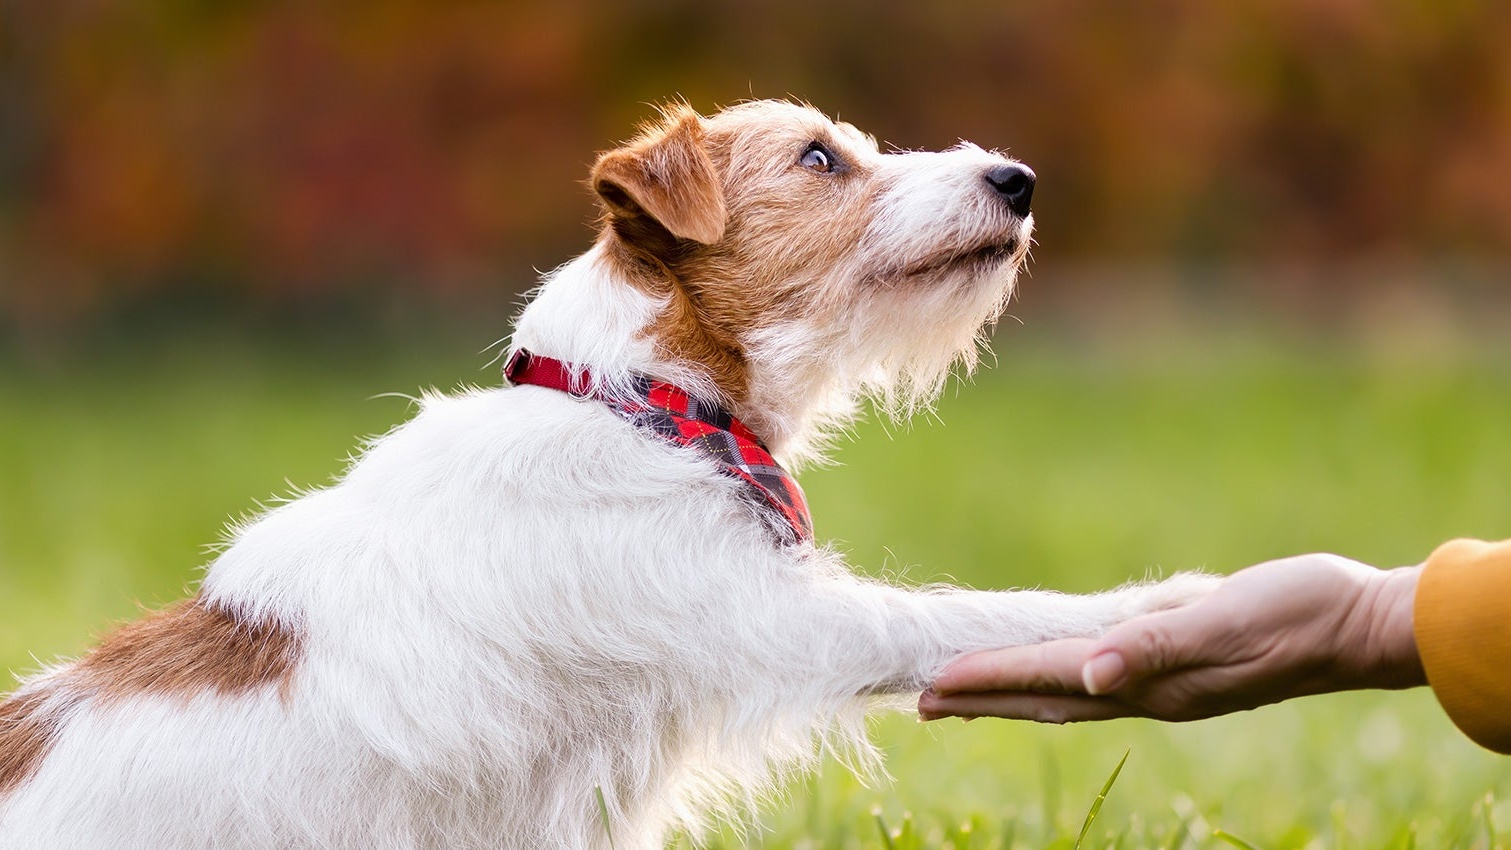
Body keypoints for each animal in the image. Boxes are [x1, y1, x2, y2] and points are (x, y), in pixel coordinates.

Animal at [0, 101, 1208, 850]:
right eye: (819, 158)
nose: (1017, 179)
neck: (638, 407)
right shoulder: (772, 621)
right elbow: (962, 613)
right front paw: (1156, 602)